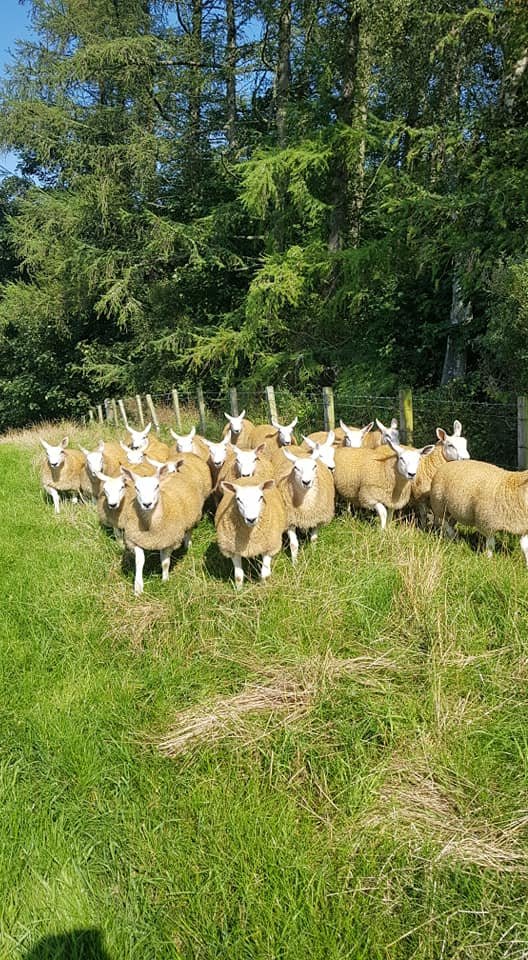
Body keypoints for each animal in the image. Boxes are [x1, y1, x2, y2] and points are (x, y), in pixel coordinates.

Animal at [121, 465, 204, 595]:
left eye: (157, 486)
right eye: (136, 488)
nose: (147, 504)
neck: (150, 526)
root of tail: (175, 472)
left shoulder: (169, 541)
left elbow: (165, 563)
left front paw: (165, 581)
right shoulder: (135, 541)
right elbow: (140, 561)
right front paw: (138, 587)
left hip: (194, 516)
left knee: (189, 531)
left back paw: (187, 545)